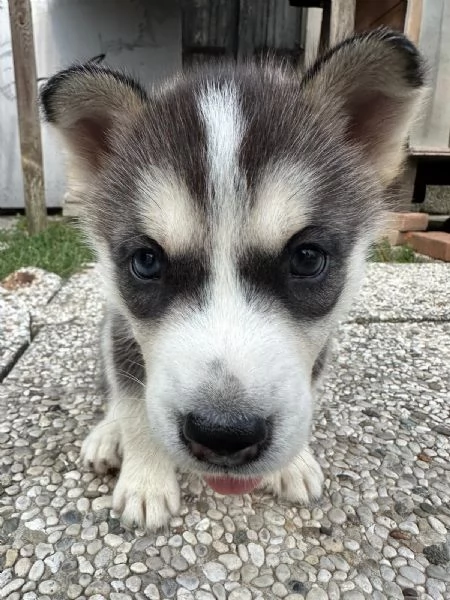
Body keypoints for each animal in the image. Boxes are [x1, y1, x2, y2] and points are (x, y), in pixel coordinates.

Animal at [40, 28, 424, 528]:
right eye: (146, 261)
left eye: (307, 258)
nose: (223, 436)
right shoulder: (122, 330)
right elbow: (134, 404)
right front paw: (146, 480)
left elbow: (307, 386)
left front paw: (293, 461)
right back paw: (107, 435)